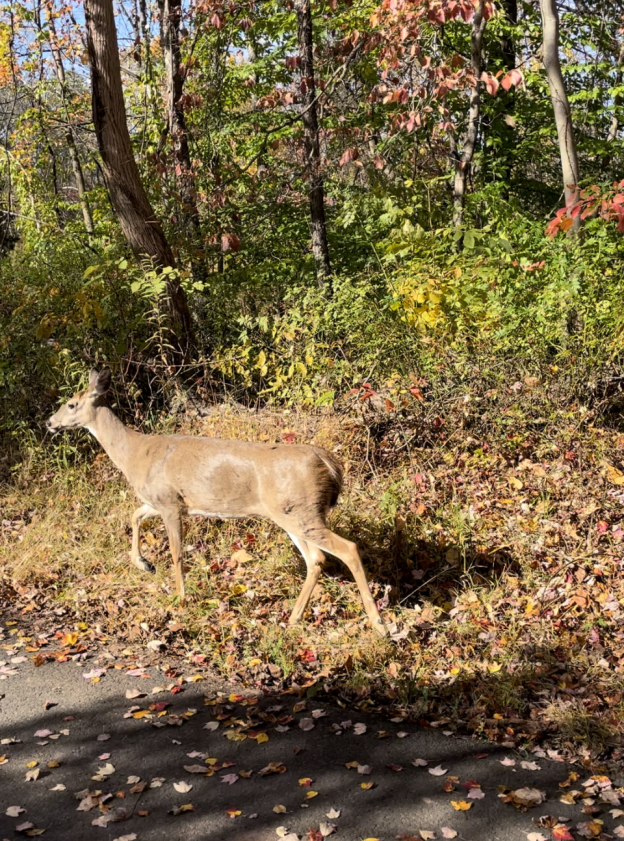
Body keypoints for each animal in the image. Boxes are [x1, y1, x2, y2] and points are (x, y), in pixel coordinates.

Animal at [46, 369, 387, 637]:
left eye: (71, 403)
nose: (50, 422)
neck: (135, 452)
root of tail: (330, 463)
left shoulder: (170, 502)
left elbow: (176, 552)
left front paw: (180, 598)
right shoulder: (160, 500)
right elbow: (134, 515)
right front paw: (143, 563)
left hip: (300, 511)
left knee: (347, 549)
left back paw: (379, 624)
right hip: (294, 513)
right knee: (316, 558)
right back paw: (293, 618)